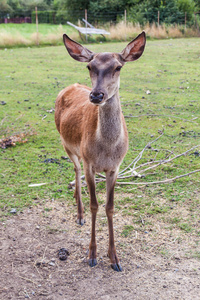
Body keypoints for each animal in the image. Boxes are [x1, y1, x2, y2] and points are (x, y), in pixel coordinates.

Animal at [54, 31, 145, 270]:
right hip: (66, 143)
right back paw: (79, 214)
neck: (107, 149)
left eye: (118, 66)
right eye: (89, 66)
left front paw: (114, 258)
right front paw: (92, 255)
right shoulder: (90, 164)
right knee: (75, 169)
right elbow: (95, 205)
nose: (96, 95)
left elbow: (110, 207)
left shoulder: (115, 167)